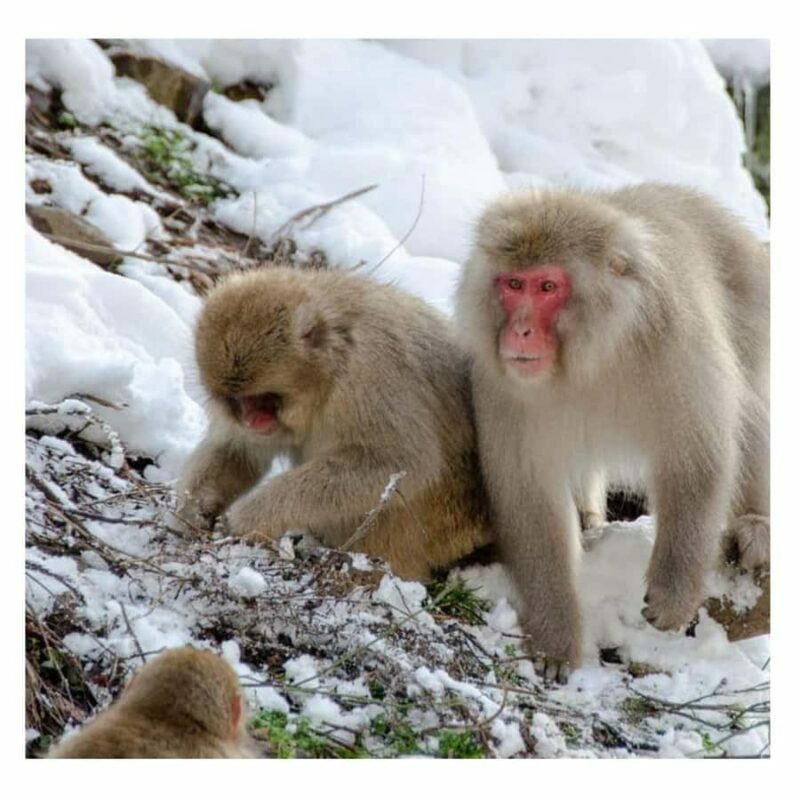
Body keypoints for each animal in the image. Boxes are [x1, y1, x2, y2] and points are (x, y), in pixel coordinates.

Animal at [175, 266, 491, 582]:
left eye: (264, 399)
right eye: (237, 401)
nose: (252, 420)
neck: (332, 365)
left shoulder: (371, 372)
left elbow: (399, 461)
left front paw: (252, 513)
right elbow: (239, 451)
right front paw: (192, 507)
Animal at [455, 183, 769, 682]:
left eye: (547, 287)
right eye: (513, 284)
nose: (519, 331)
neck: (595, 356)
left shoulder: (676, 345)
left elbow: (697, 457)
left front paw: (674, 589)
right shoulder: (501, 385)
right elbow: (532, 499)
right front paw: (555, 637)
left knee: (750, 401)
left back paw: (756, 524)